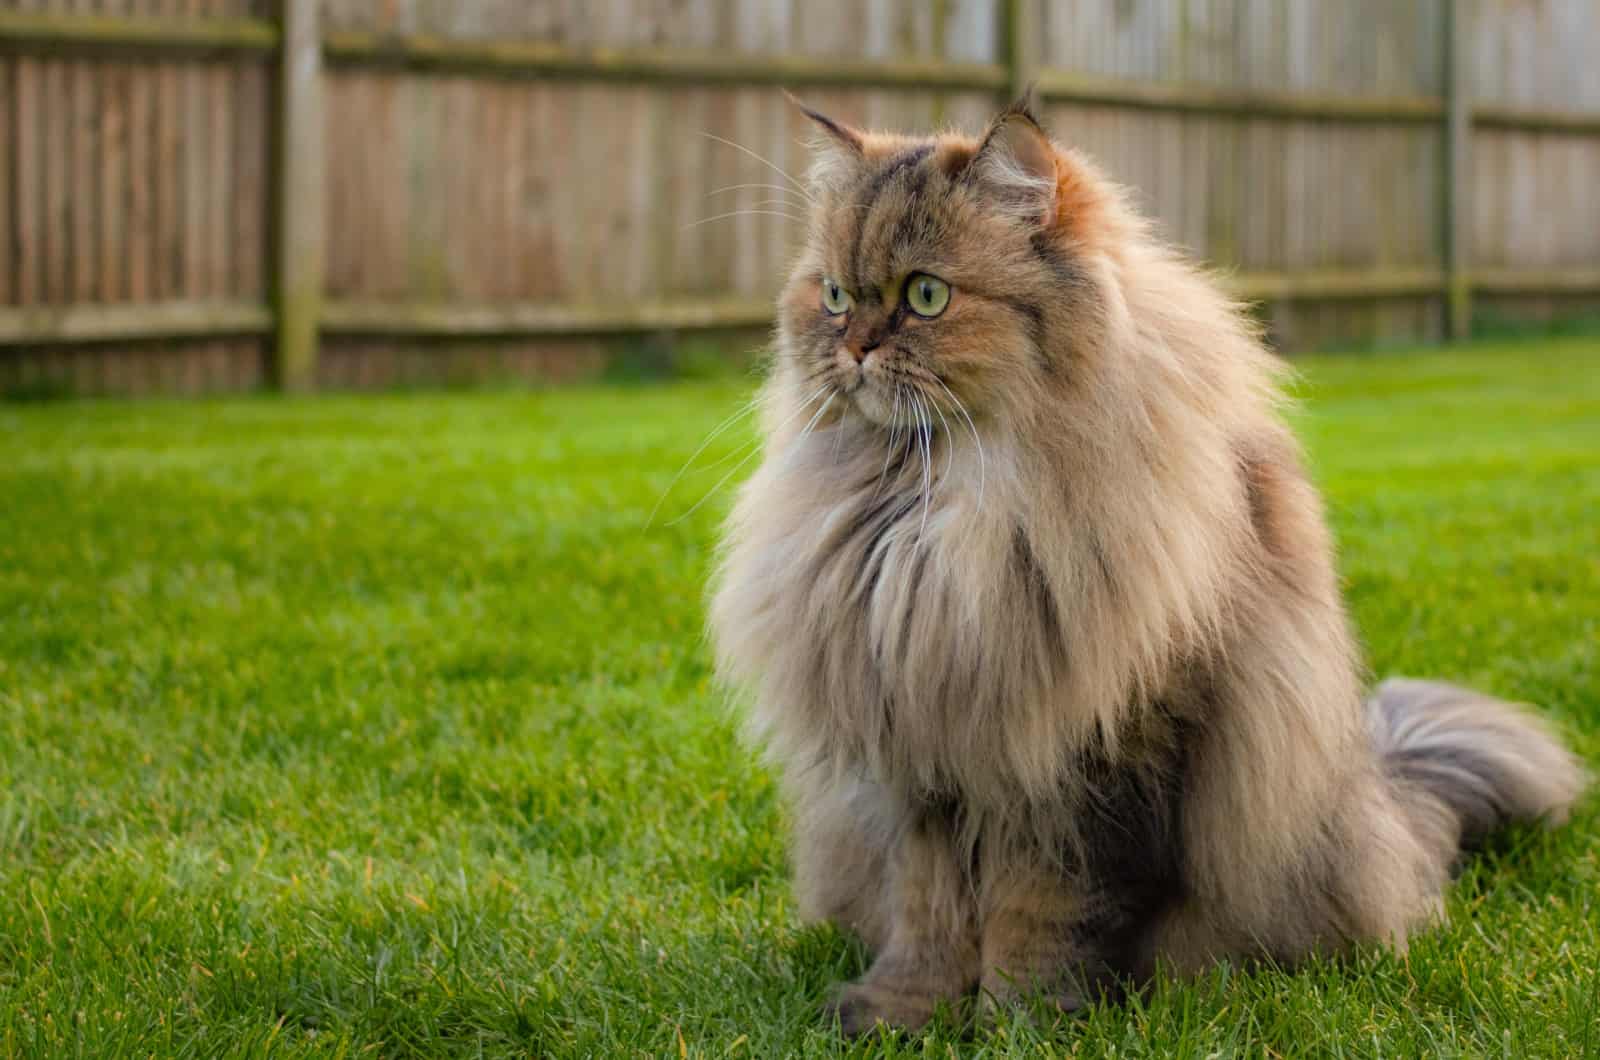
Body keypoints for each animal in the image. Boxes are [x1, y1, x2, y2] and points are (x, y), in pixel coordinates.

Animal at [707, 99, 1580, 1037]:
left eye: (926, 296)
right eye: (834, 295)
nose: (856, 349)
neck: (927, 514)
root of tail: (1384, 791)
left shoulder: (1088, 761)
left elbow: (1041, 911)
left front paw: (1022, 1024)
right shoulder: (922, 744)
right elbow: (927, 911)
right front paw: (902, 1013)